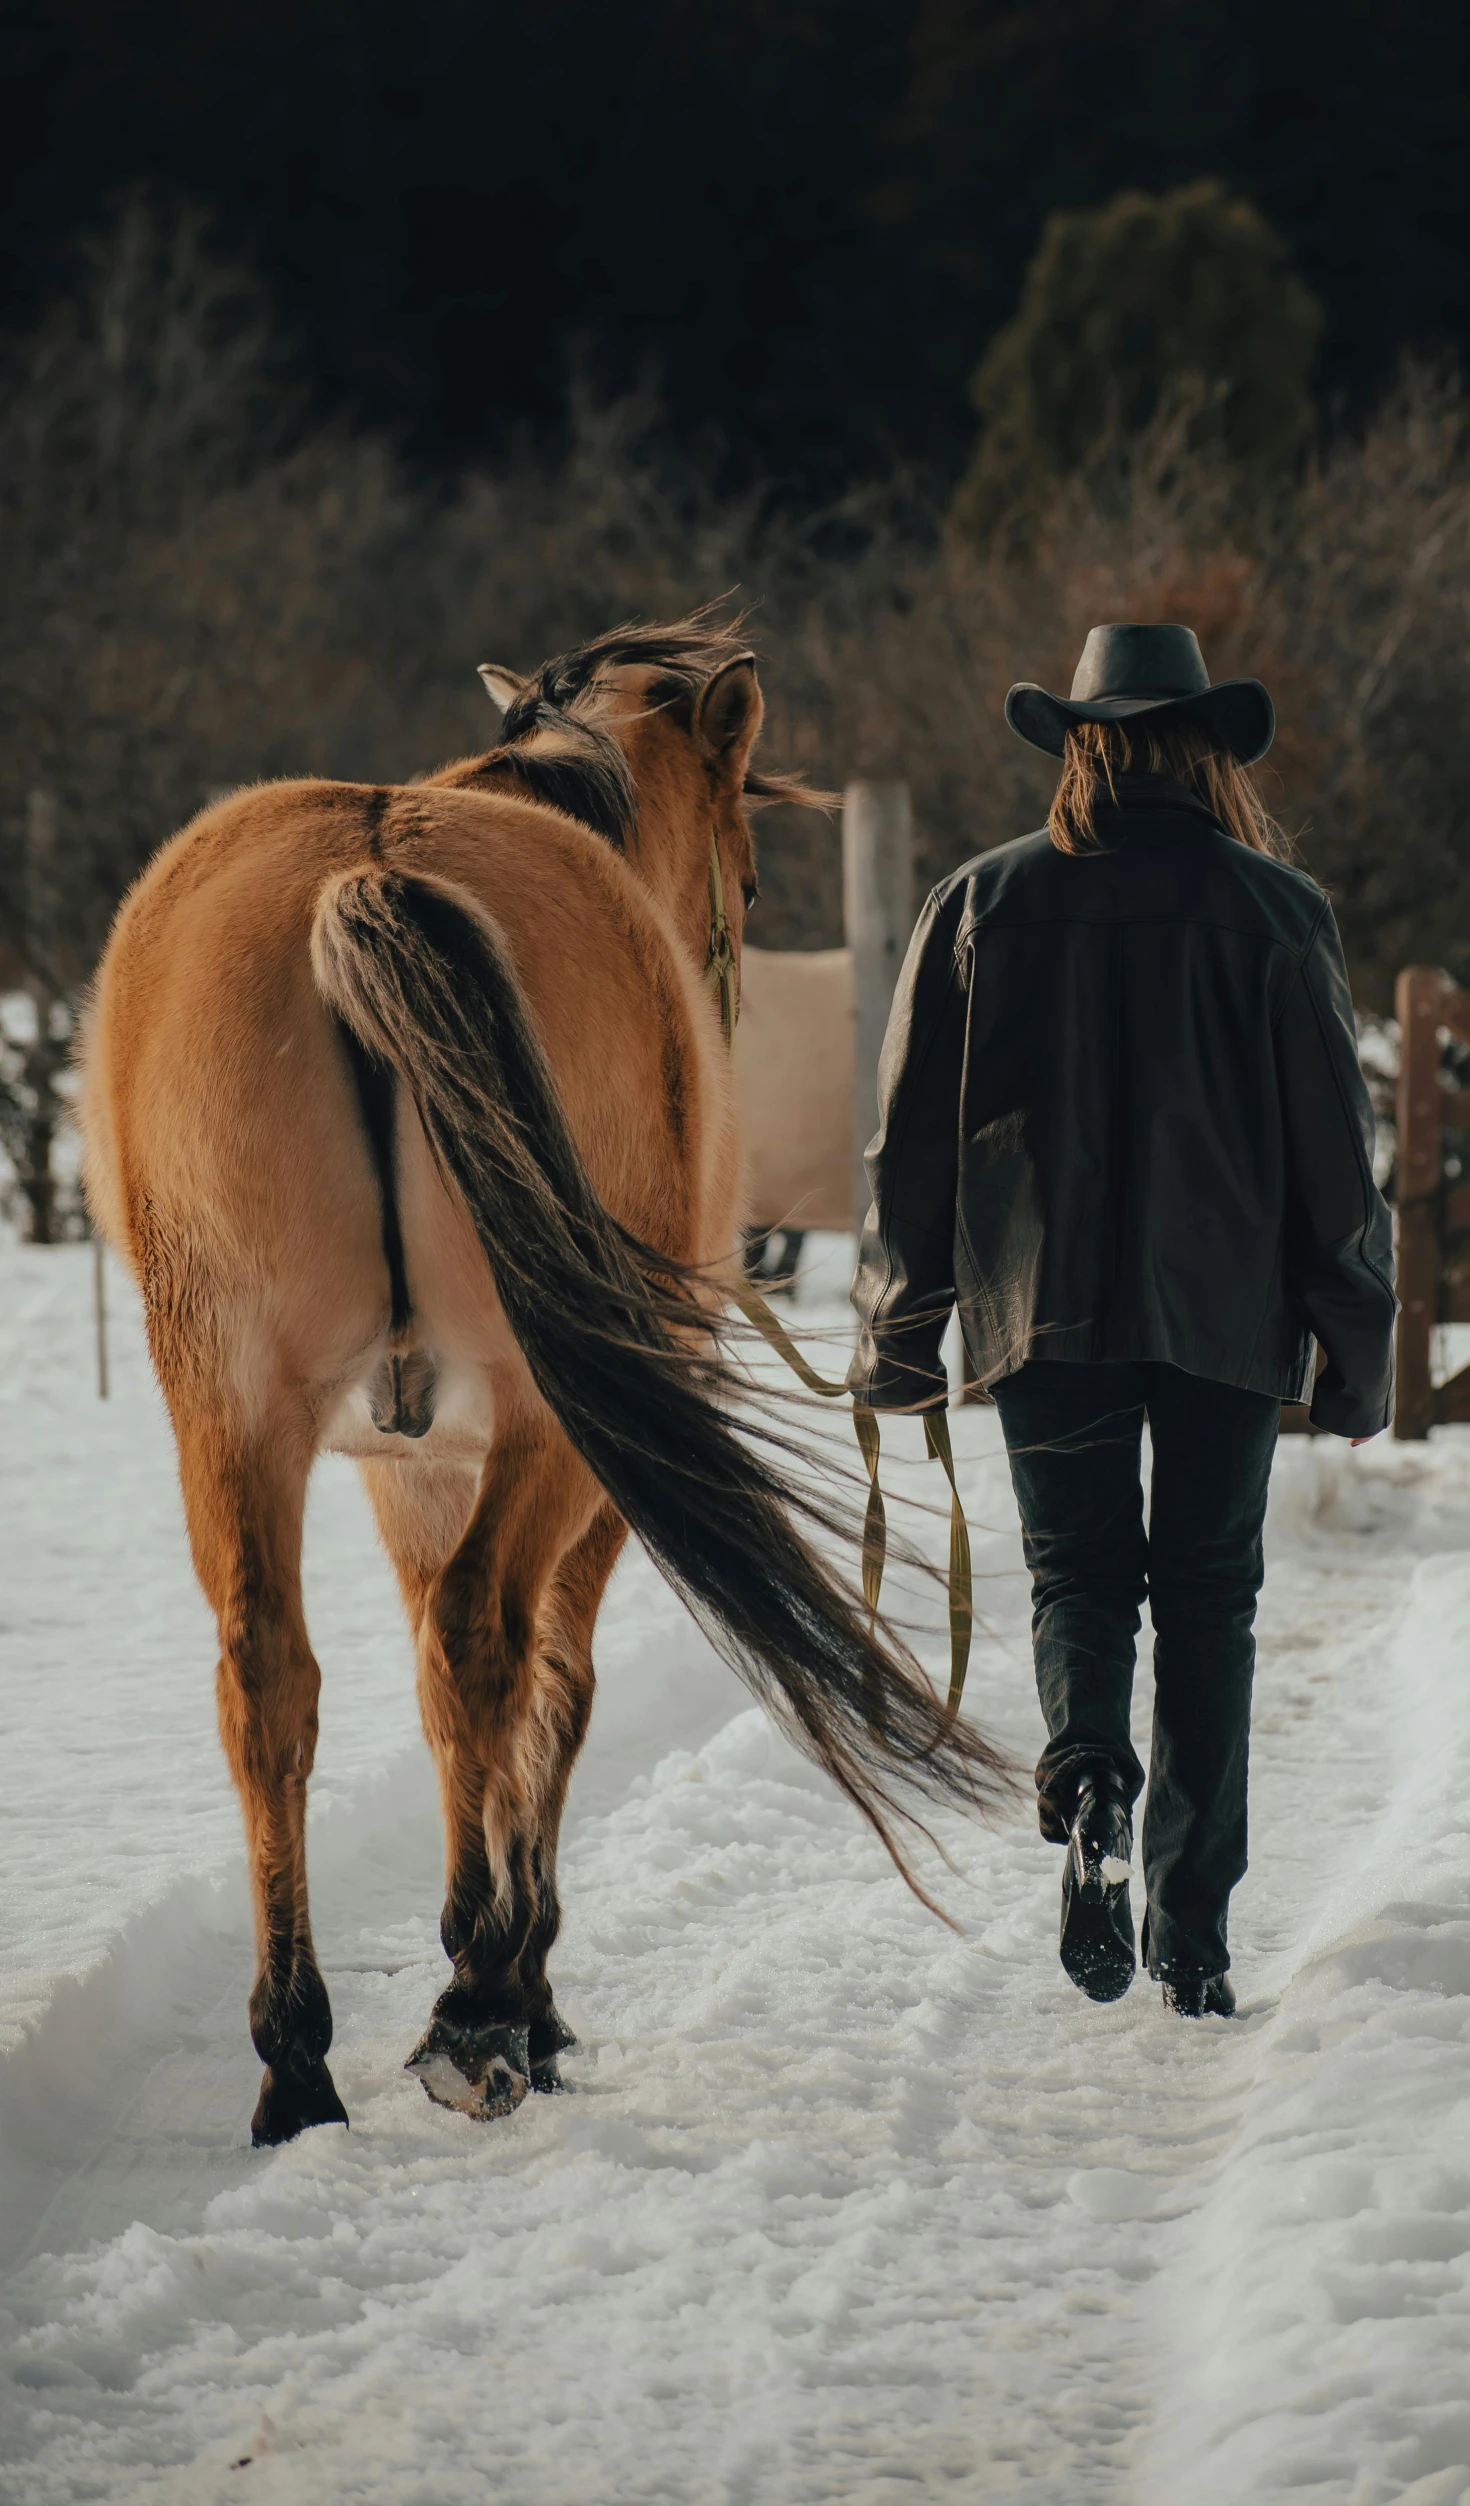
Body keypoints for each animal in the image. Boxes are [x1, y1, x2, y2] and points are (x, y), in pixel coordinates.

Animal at [80, 616, 1011, 2145]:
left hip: (228, 1403)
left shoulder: (416, 1464)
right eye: (747, 873)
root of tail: (365, 872)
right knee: (489, 1641)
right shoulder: (567, 1466)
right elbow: (553, 1689)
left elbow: (429, 1681)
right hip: (535, 1419)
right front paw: (525, 1985)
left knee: (273, 1675)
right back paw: (472, 2007)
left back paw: (299, 2061)